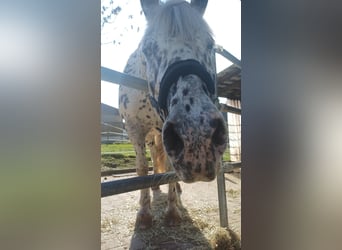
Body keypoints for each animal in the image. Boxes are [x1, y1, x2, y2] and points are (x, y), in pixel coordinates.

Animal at [118, 0, 227, 229]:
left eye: (210, 45)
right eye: (147, 48)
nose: (198, 139)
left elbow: (169, 171)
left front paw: (172, 211)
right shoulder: (134, 129)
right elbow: (142, 168)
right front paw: (144, 214)